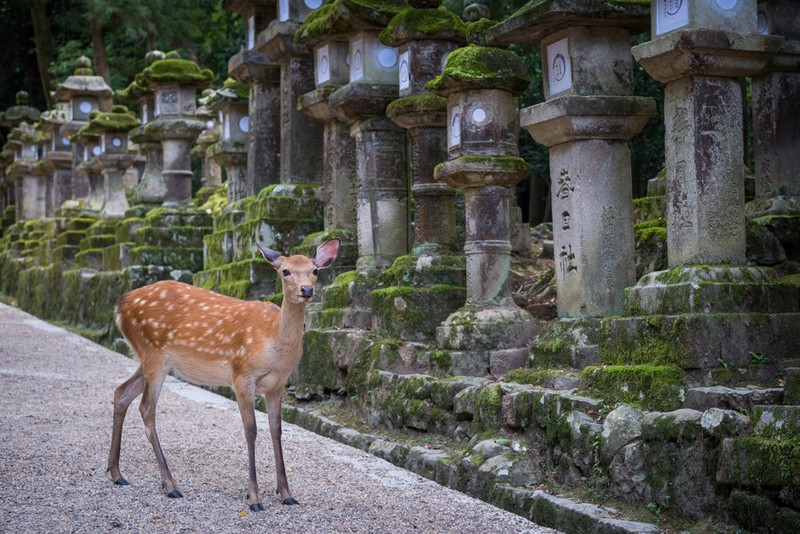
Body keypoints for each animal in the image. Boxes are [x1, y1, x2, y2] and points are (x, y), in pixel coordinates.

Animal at [107, 241, 340, 512]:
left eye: (315, 271)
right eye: (285, 271)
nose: (306, 290)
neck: (273, 342)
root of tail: (120, 305)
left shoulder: (277, 384)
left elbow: (276, 430)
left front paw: (286, 493)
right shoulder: (241, 375)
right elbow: (251, 430)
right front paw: (254, 498)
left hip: (150, 359)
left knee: (121, 392)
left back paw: (116, 473)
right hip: (153, 353)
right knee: (146, 408)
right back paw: (170, 485)